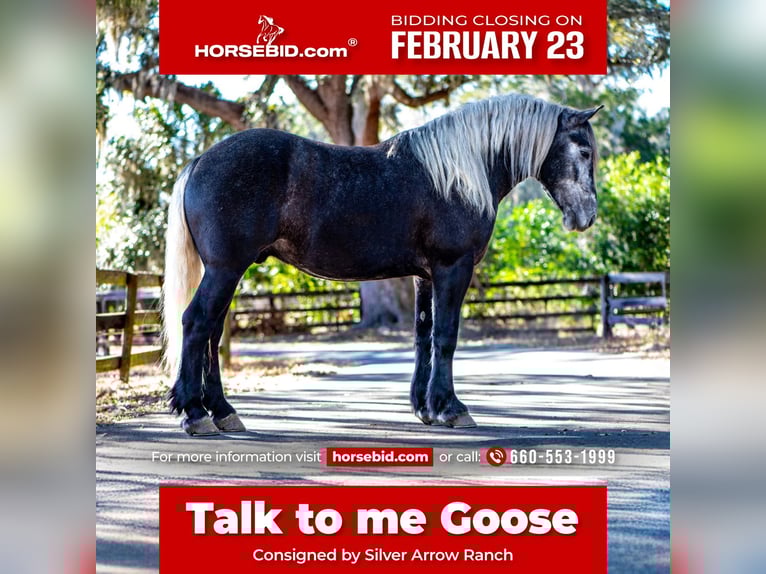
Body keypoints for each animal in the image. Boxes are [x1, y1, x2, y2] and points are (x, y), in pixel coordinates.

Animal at [162, 94, 602, 436]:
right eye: (584, 151)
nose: (586, 217)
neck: (459, 171)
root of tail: (200, 160)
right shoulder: (453, 268)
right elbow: (446, 336)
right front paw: (452, 409)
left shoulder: (426, 276)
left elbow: (423, 336)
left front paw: (426, 408)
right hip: (225, 269)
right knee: (196, 324)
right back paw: (195, 414)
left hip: (229, 272)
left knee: (212, 333)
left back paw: (223, 412)